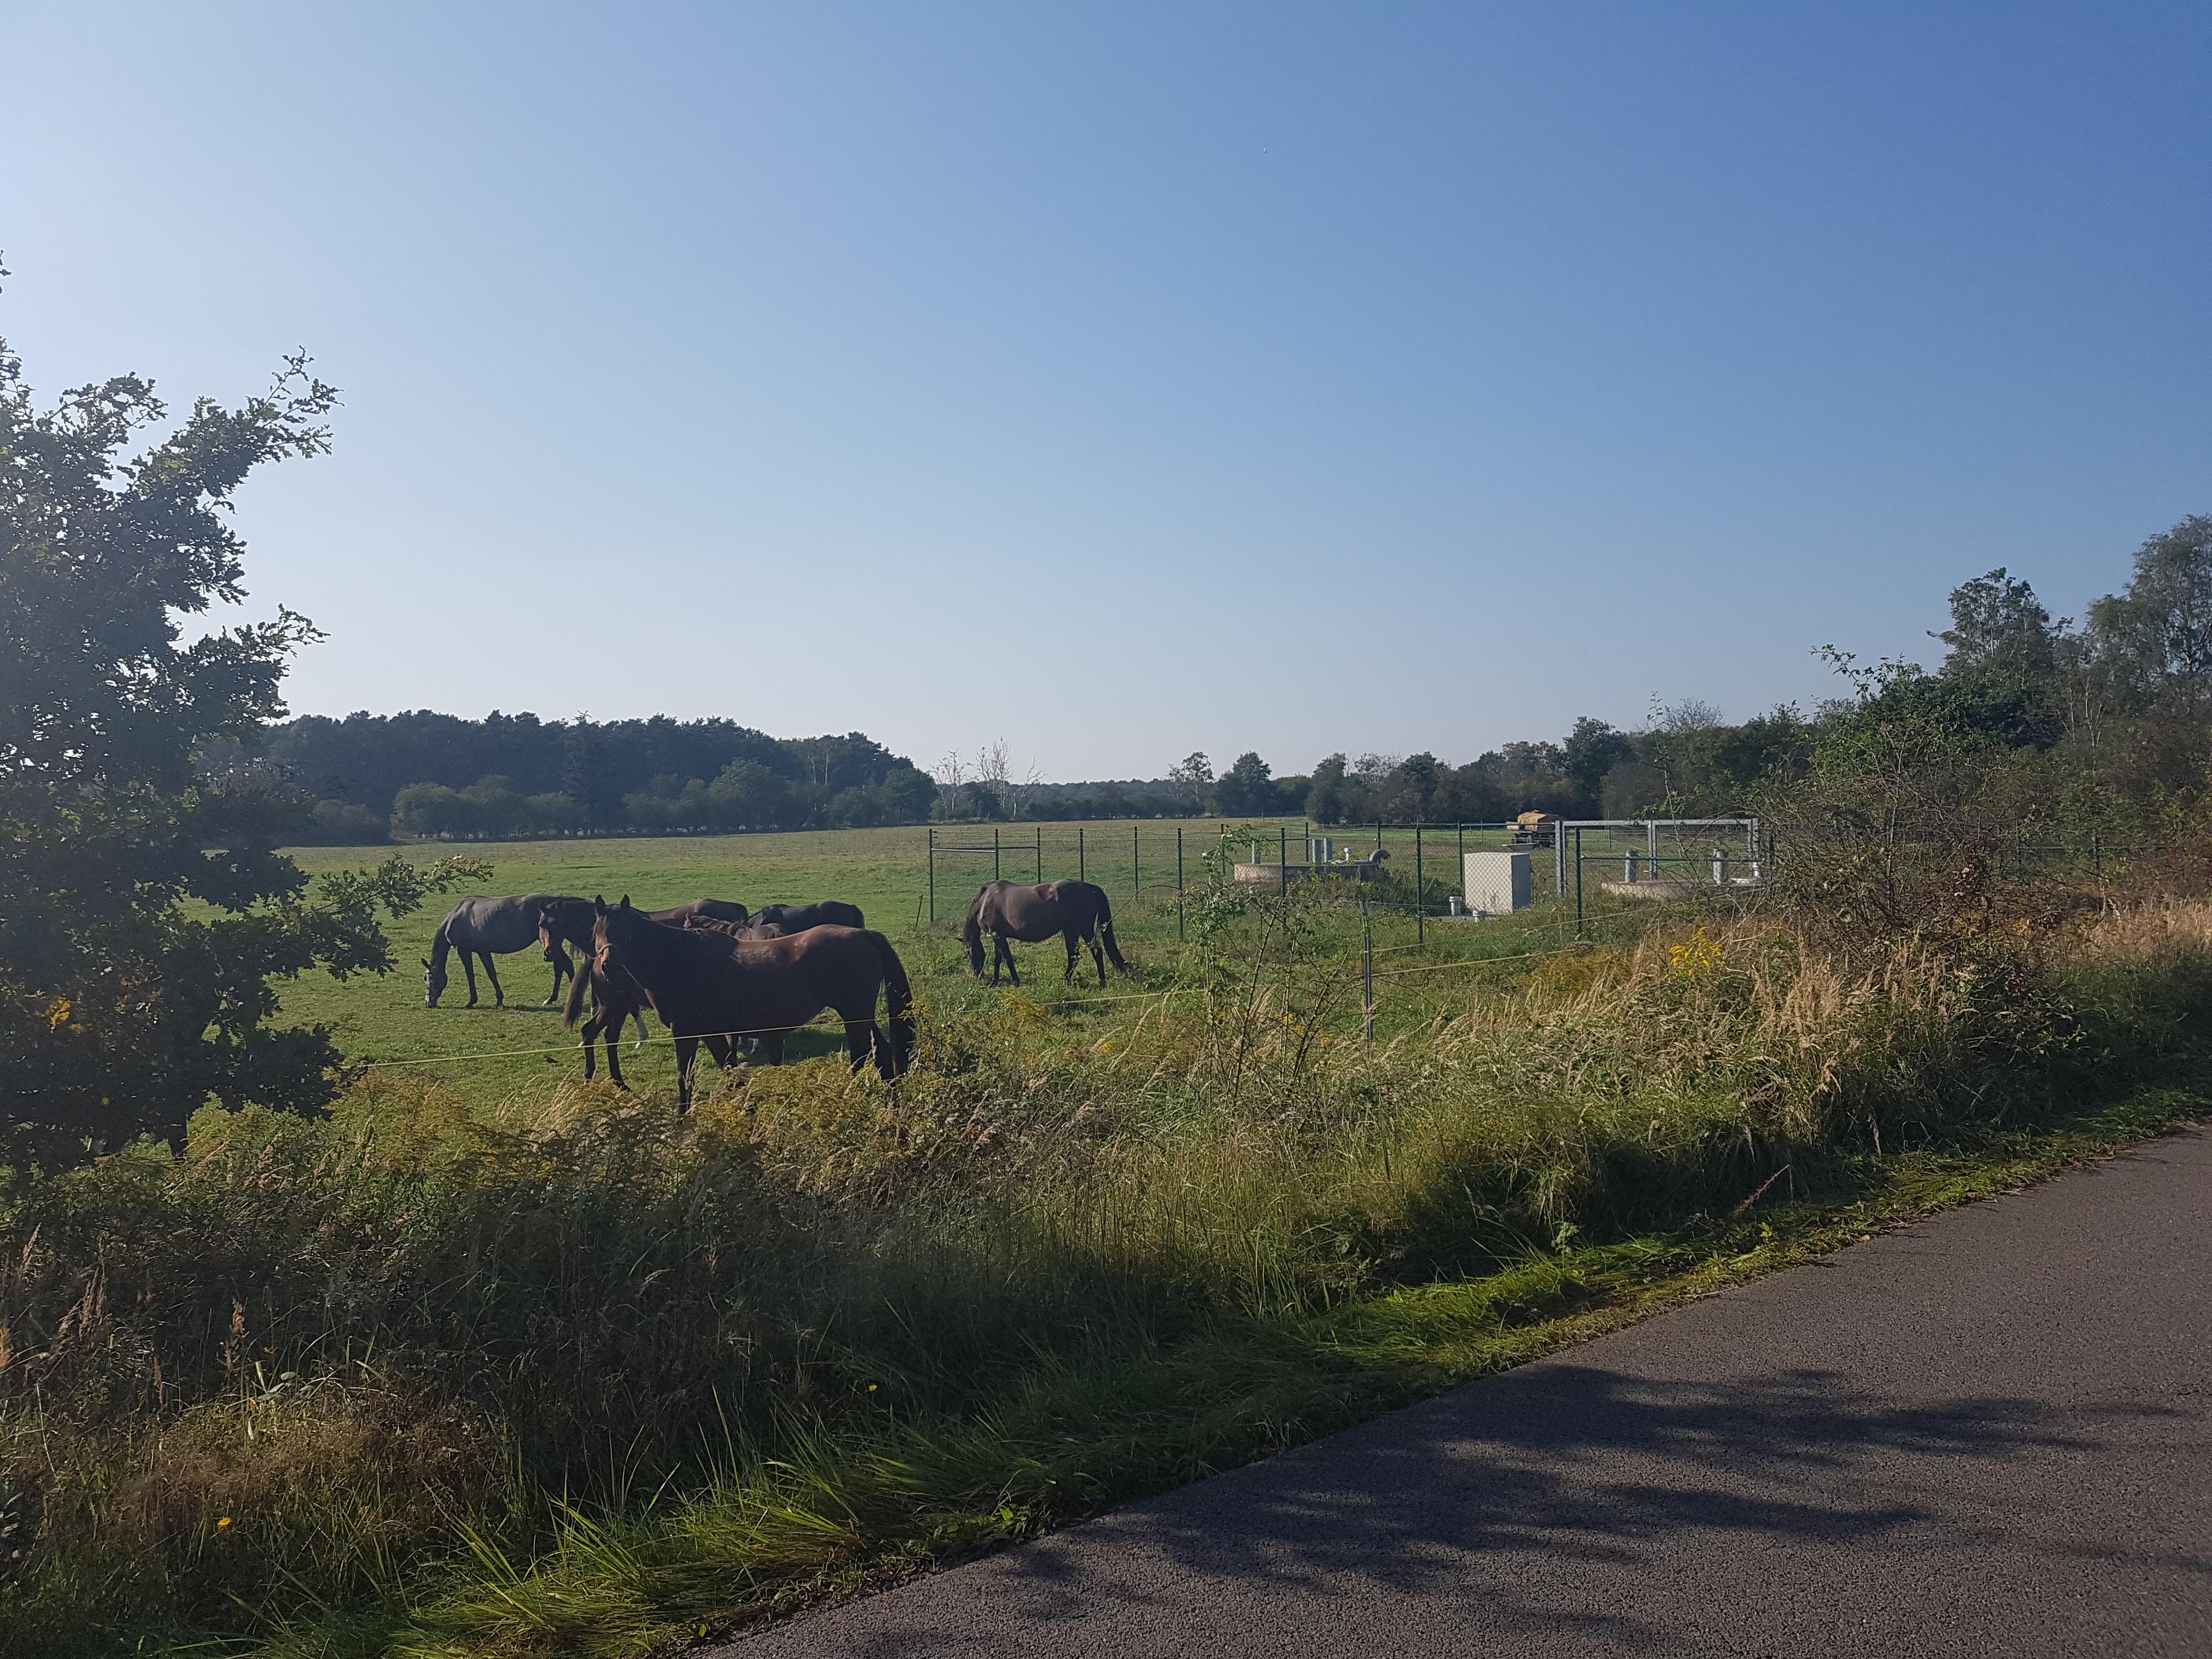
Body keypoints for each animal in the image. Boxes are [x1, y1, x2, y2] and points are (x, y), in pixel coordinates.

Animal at [425, 898, 588, 1013]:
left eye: (427, 978)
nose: (428, 1003)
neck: (457, 916)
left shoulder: (464, 950)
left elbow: (470, 976)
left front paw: (471, 1002)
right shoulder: (483, 951)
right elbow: (492, 974)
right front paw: (499, 1000)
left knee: (565, 964)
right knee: (562, 966)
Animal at [588, 902, 907, 1110]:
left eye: (624, 931)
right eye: (597, 932)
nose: (607, 966)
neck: (678, 959)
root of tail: (864, 935)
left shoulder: (686, 1032)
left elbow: (685, 1080)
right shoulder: (710, 1032)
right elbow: (729, 1070)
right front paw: (748, 1110)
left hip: (854, 1015)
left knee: (865, 1055)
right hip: (859, 1015)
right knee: (879, 1053)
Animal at [960, 884, 1124, 986]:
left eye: (968, 954)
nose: (978, 975)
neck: (985, 900)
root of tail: (1089, 887)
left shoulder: (998, 936)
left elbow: (1008, 959)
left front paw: (1016, 982)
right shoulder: (999, 936)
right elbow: (998, 960)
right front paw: (995, 982)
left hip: (1072, 932)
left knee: (1075, 956)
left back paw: (1066, 979)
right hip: (1085, 930)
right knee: (1097, 952)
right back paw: (1102, 981)